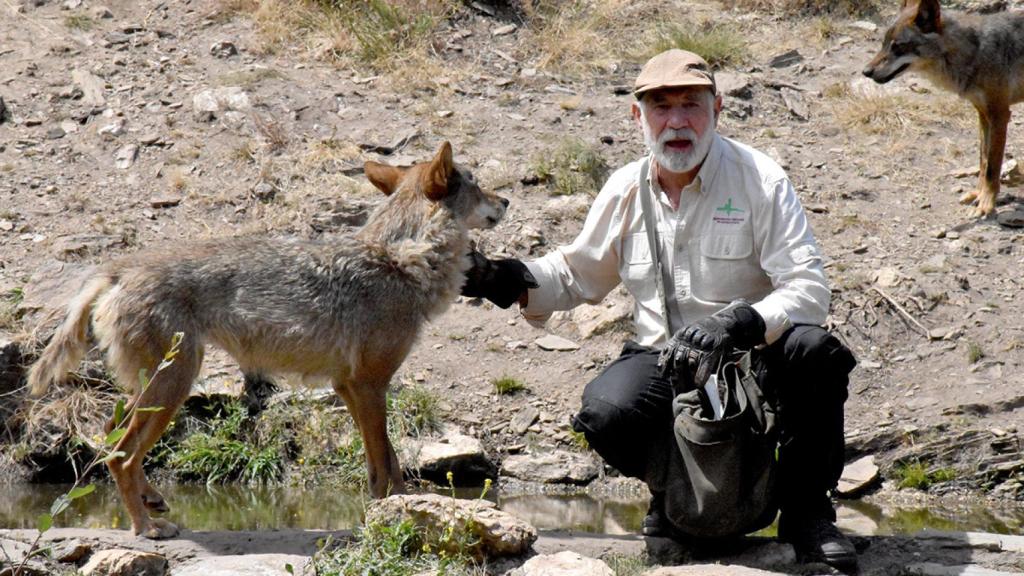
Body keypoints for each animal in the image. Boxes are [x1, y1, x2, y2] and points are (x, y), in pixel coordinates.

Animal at [29, 141, 509, 537]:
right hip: (173, 386)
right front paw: (394, 514)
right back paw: (146, 529)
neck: (400, 260)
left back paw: (152, 502)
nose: (506, 200)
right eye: (477, 184)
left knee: (108, 434)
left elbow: (385, 463)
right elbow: (383, 465)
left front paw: (395, 510)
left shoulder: (348, 387)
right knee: (119, 455)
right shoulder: (370, 384)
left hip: (155, 390)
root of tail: (117, 269)